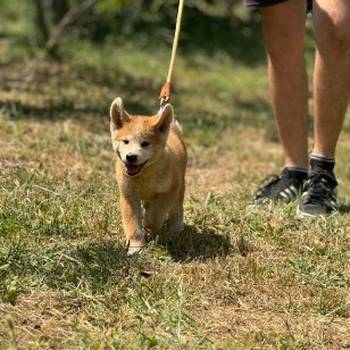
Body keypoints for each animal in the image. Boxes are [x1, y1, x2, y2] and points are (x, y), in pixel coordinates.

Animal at [109, 97, 187, 253]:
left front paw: (149, 225)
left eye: (145, 143)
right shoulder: (128, 195)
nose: (131, 157)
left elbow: (156, 216)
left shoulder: (170, 190)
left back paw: (175, 229)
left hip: (180, 187)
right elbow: (133, 225)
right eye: (125, 141)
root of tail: (173, 131)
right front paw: (136, 247)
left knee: (177, 210)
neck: (145, 175)